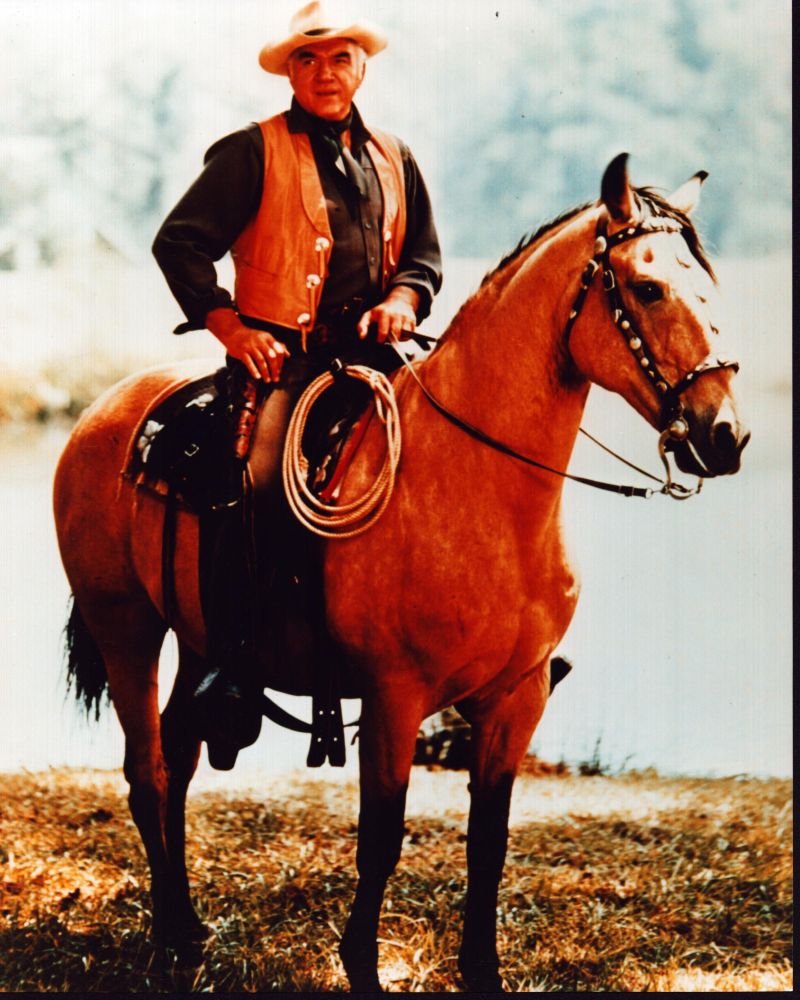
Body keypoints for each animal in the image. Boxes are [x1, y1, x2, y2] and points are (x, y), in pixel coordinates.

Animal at [53, 154, 749, 992]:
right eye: (648, 287)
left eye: (707, 282)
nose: (725, 434)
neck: (482, 489)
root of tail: (103, 412)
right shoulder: (394, 698)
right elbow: (380, 838)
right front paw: (362, 967)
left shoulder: (515, 701)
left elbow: (489, 842)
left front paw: (481, 971)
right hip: (124, 626)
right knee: (148, 771)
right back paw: (166, 935)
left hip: (196, 641)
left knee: (179, 758)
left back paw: (187, 926)